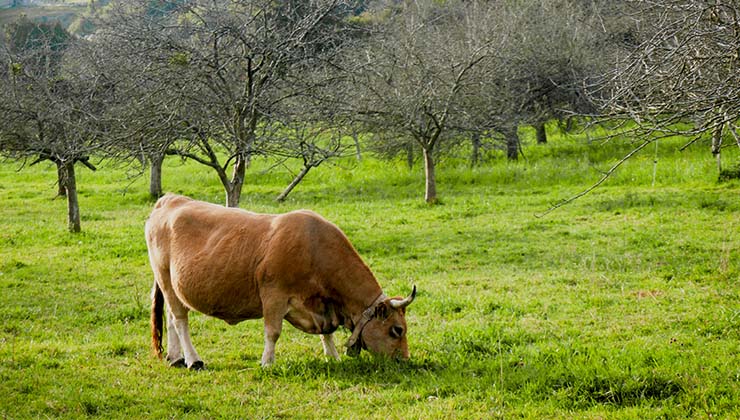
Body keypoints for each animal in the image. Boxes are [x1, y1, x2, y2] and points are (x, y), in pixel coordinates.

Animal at [145, 194, 416, 368]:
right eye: (397, 330)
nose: (404, 360)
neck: (314, 247)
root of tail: (169, 199)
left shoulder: (322, 307)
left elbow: (327, 332)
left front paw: (333, 357)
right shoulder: (274, 296)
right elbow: (272, 332)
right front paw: (267, 362)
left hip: (170, 285)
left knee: (171, 317)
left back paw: (175, 357)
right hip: (166, 277)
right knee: (180, 320)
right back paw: (193, 359)